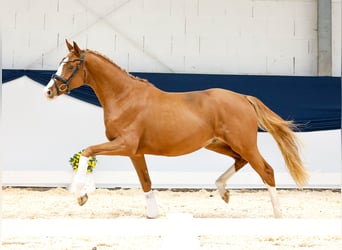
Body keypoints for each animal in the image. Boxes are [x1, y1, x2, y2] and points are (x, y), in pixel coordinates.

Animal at [44, 40, 308, 218]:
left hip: (244, 143)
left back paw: (277, 213)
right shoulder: (135, 152)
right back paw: (223, 192)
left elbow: (87, 151)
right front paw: (152, 214)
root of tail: (243, 98)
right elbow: (146, 182)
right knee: (240, 161)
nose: (48, 91)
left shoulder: (125, 145)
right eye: (61, 63)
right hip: (218, 144)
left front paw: (80, 194)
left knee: (266, 170)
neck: (124, 97)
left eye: (71, 65)